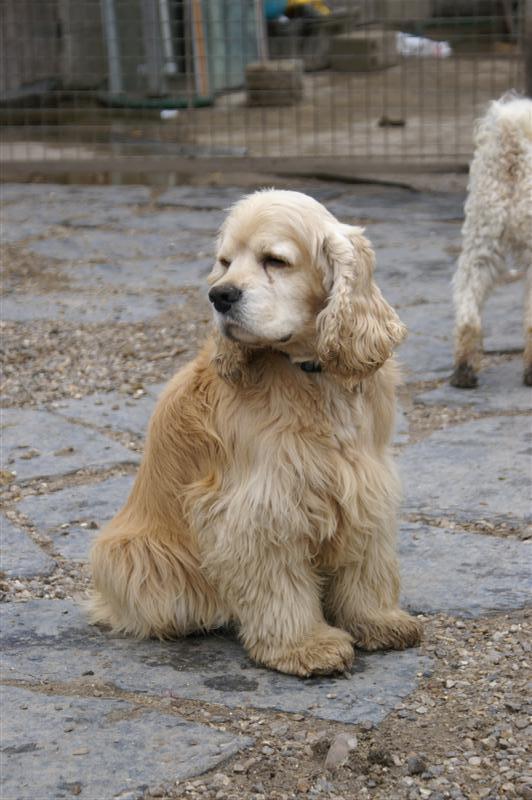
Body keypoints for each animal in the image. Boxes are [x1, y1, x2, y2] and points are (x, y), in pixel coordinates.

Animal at [91, 189, 424, 676]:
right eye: (225, 262)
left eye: (275, 260)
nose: (219, 295)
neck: (311, 375)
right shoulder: (263, 505)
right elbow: (278, 584)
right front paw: (305, 645)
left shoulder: (366, 485)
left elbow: (367, 561)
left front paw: (377, 621)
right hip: (139, 555)